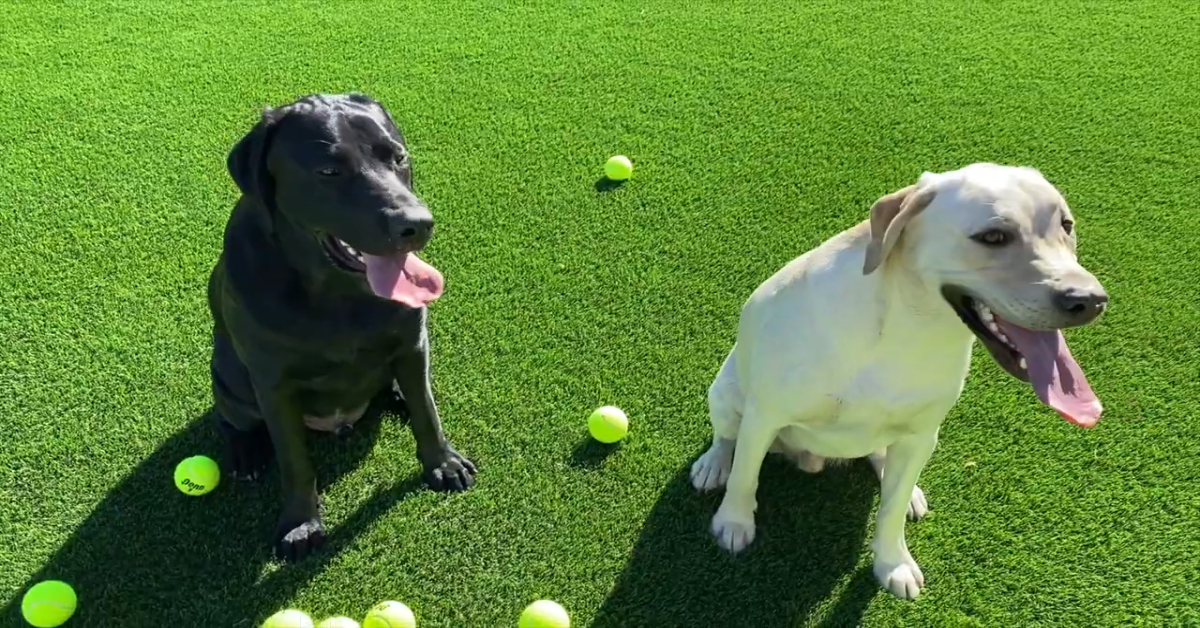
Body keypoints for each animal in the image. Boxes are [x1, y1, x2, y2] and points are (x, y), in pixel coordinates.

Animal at [208, 92, 475, 559]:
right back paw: (246, 453)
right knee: (232, 419)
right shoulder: (273, 383)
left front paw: (443, 463)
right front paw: (301, 524)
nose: (417, 224)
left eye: (398, 157)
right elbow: (295, 461)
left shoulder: (413, 342)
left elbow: (427, 412)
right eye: (329, 171)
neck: (338, 293)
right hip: (228, 374)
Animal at [691, 162, 1108, 600]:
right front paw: (733, 523)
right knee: (728, 439)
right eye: (993, 237)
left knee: (883, 460)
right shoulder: (765, 414)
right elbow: (745, 475)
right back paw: (713, 466)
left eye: (1066, 225)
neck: (907, 330)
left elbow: (889, 509)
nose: (1090, 300)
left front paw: (893, 563)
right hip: (726, 394)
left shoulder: (921, 433)